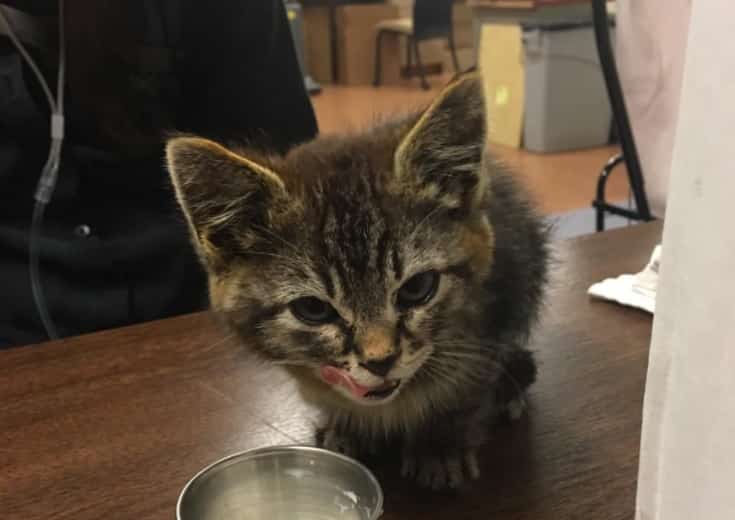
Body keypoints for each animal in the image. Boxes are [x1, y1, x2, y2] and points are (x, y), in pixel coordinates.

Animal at [165, 75, 548, 490]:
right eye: (313, 309)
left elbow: (465, 387)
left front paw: (440, 444)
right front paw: (347, 428)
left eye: (417, 289)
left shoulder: (494, 313)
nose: (380, 361)